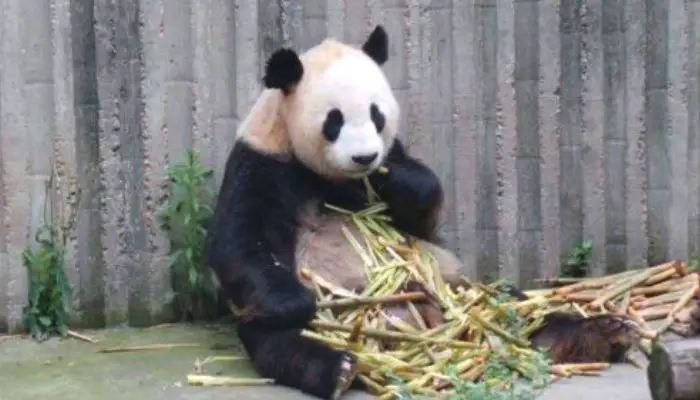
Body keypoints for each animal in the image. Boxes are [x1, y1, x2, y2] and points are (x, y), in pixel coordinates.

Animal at [202, 25, 640, 400]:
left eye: (376, 114)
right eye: (334, 120)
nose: (365, 157)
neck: (331, 177)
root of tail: (422, 324)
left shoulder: (390, 165)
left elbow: (424, 215)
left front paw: (396, 179)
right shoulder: (263, 163)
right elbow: (241, 243)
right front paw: (292, 300)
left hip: (458, 287)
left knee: (517, 308)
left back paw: (602, 332)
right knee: (285, 343)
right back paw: (338, 367)